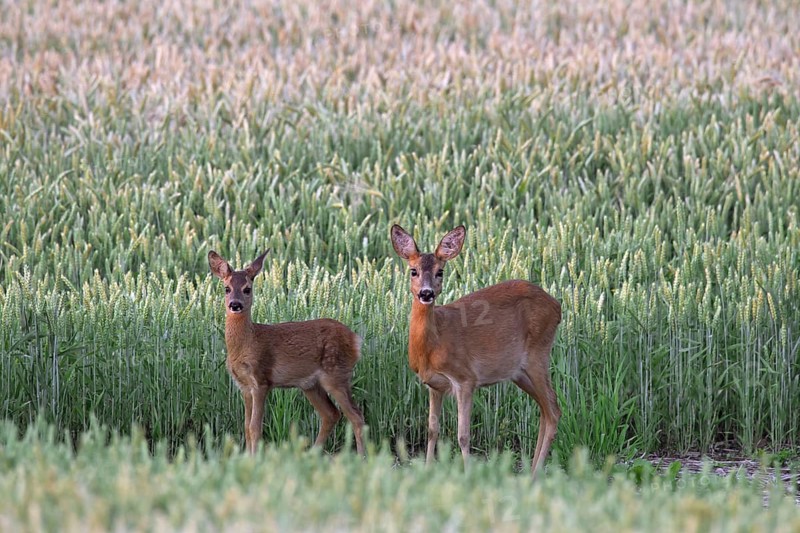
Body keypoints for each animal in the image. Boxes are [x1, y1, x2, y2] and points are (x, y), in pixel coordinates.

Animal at [208, 249, 365, 456]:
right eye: (226, 288)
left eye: (247, 289)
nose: (235, 305)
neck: (246, 344)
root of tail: (356, 340)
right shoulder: (244, 386)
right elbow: (246, 427)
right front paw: (247, 457)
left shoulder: (261, 380)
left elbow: (255, 428)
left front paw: (255, 458)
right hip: (310, 385)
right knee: (331, 414)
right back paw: (312, 454)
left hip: (336, 374)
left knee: (356, 416)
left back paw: (362, 456)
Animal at [390, 224, 562, 476]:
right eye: (413, 271)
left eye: (440, 272)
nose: (426, 293)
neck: (432, 345)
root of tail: (558, 307)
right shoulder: (434, 385)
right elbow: (432, 430)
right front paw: (428, 471)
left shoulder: (465, 379)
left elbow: (463, 435)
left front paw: (469, 474)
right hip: (519, 372)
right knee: (545, 409)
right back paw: (531, 470)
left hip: (538, 355)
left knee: (554, 410)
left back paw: (535, 474)